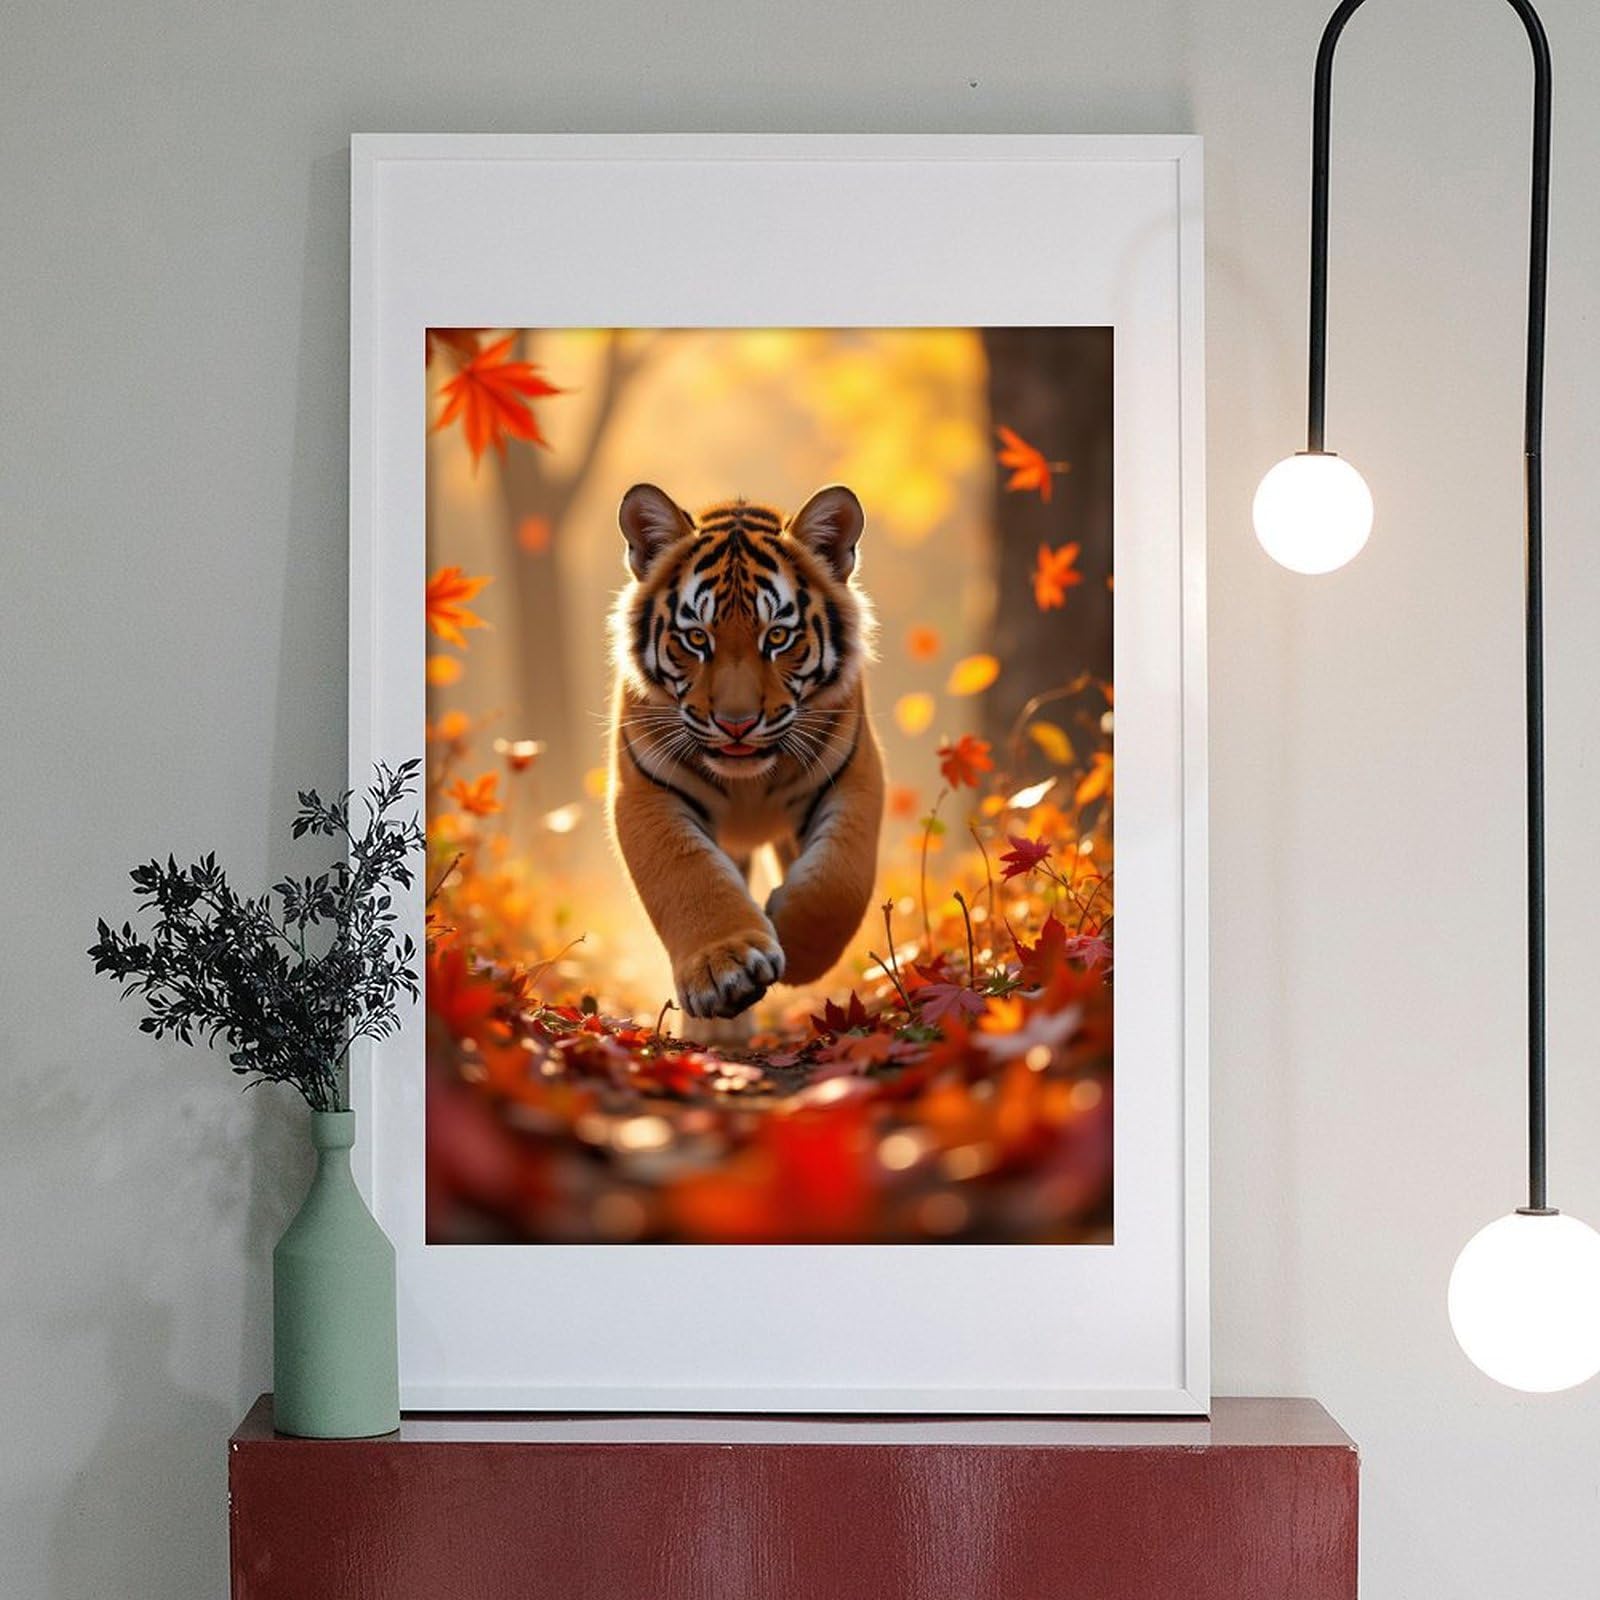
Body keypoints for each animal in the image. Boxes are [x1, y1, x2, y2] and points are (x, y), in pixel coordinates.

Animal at [607, 482, 885, 1022]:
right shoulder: (647, 790)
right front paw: (726, 969)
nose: (736, 724)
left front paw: (793, 939)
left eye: (777, 636)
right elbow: (685, 872)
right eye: (696, 638)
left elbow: (839, 880)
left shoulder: (853, 775)